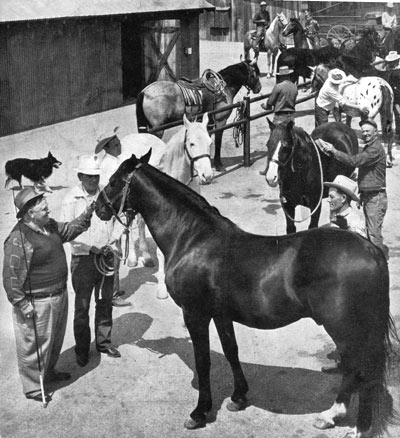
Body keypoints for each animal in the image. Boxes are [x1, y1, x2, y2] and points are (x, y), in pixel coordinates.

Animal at [95, 151, 396, 438]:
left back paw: (355, 425)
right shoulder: (221, 315)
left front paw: (199, 413)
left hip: (346, 329)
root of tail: (370, 250)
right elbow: (231, 351)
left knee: (359, 370)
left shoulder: (195, 314)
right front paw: (238, 397)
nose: (98, 208)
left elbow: (203, 361)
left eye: (113, 181)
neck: (192, 239)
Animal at [120, 113, 214, 298]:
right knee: (130, 225)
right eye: (191, 143)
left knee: (140, 224)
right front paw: (162, 288)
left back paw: (146, 257)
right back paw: (133, 258)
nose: (207, 176)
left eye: (209, 142)